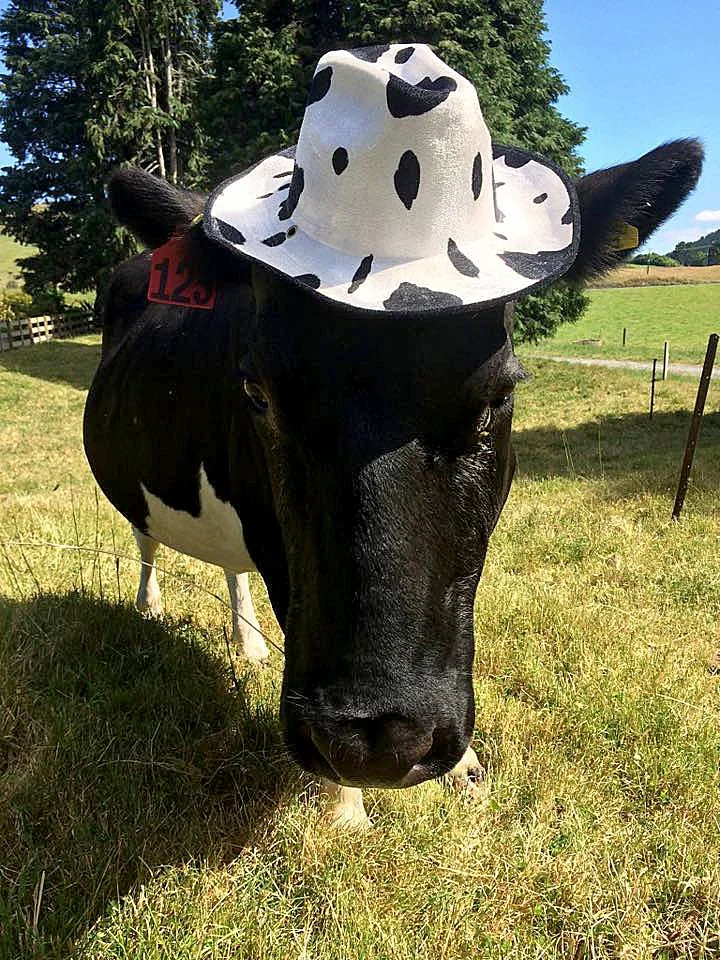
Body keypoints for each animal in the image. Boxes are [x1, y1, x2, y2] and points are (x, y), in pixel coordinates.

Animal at [83, 46, 702, 830]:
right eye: (257, 392)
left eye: (500, 393)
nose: (378, 743)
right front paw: (345, 807)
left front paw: (463, 768)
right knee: (146, 539)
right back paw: (150, 604)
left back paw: (247, 641)